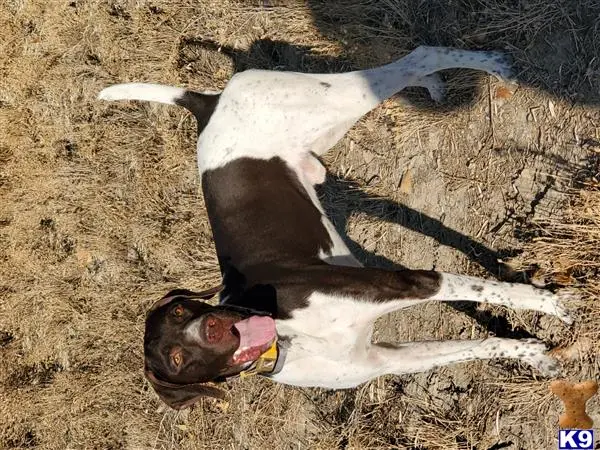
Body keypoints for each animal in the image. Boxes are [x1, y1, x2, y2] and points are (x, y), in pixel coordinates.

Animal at [98, 46, 572, 412]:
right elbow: (474, 346)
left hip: (335, 101)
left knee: (418, 55)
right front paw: (529, 353)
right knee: (407, 69)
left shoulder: (404, 282)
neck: (290, 337)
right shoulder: (384, 359)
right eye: (177, 359)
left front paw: (548, 303)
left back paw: (486, 63)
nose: (214, 328)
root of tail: (205, 105)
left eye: (182, 311)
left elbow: (487, 289)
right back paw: (437, 86)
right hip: (325, 133)